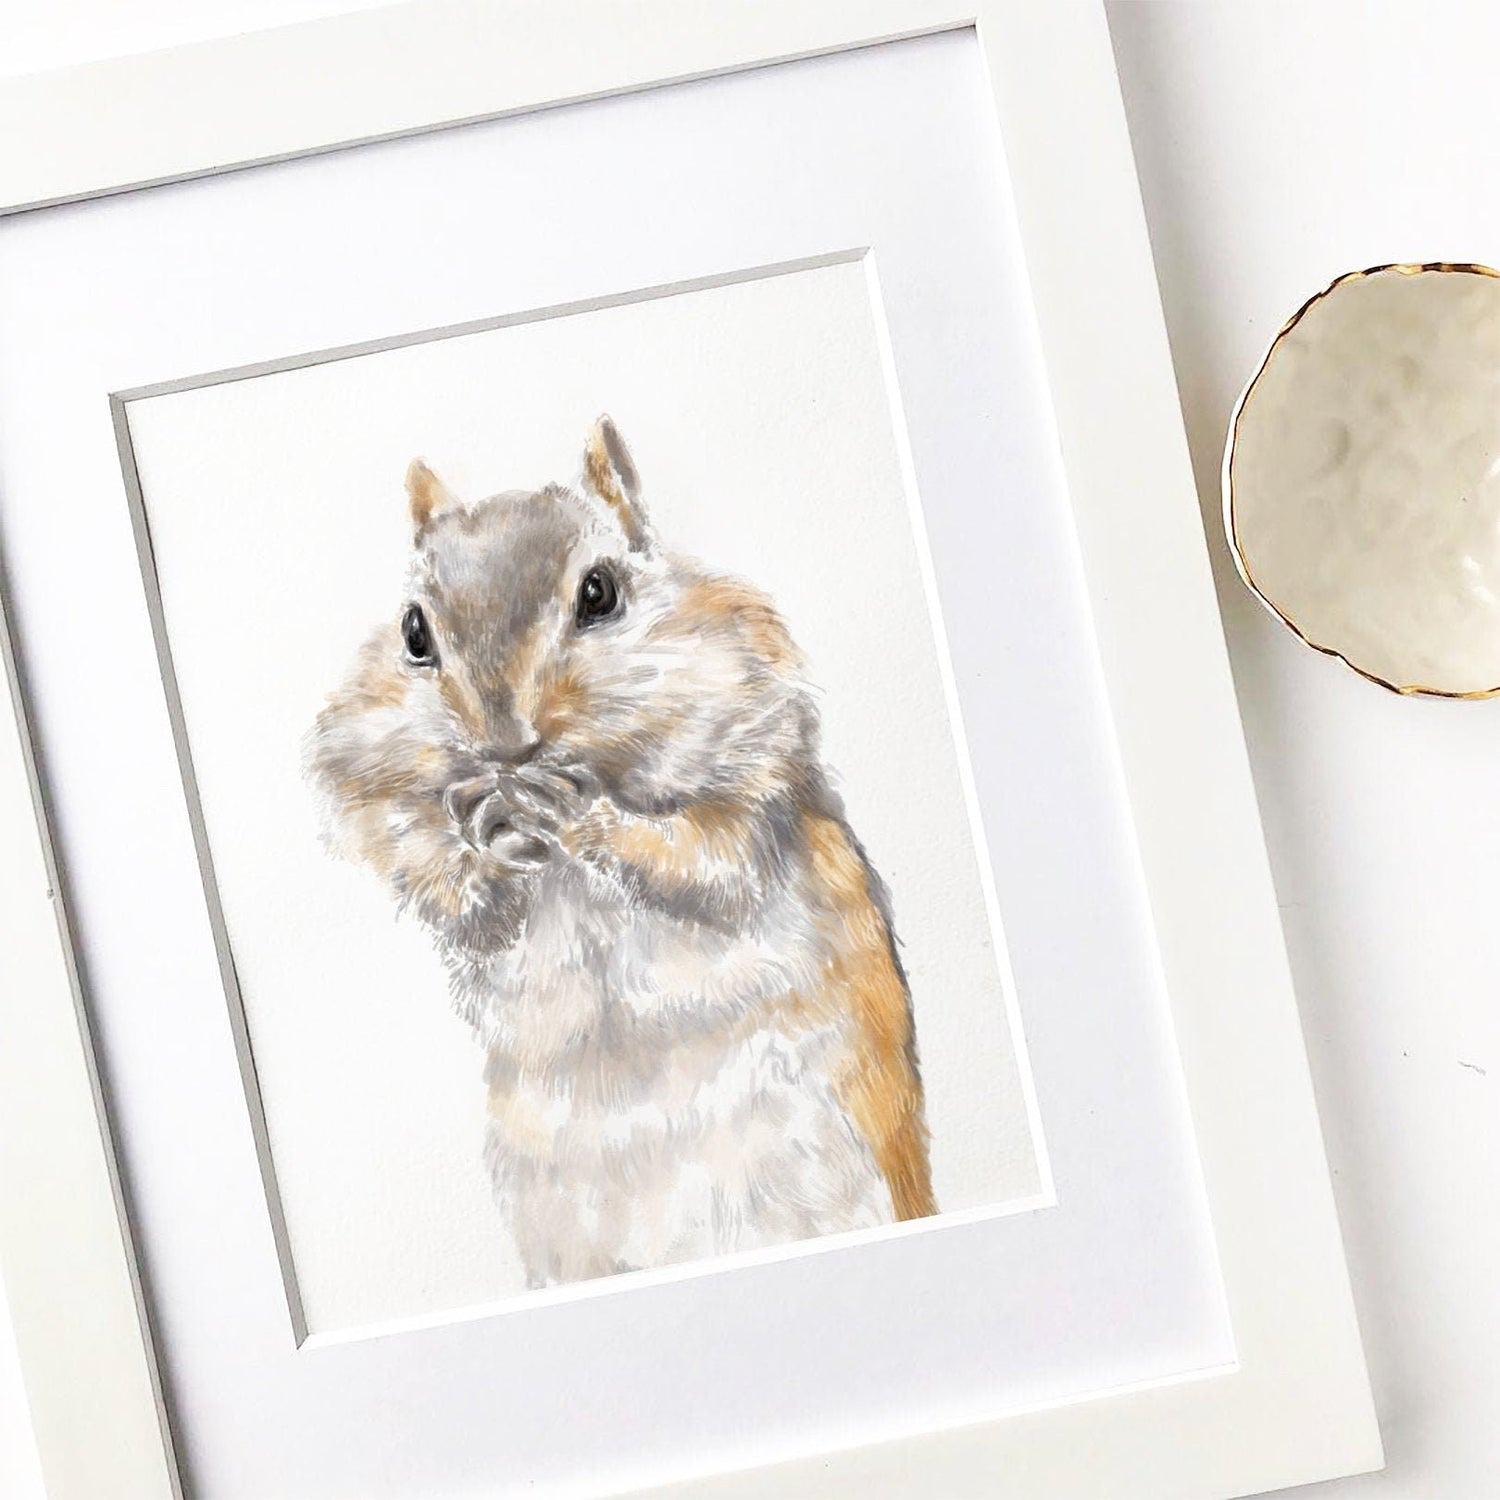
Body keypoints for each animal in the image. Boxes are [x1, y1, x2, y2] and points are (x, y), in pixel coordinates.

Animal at [305, 417, 934, 1288]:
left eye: (599, 593)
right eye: (413, 632)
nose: (503, 745)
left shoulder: (756, 762)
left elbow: (704, 856)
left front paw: (581, 817)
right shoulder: (375, 794)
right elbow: (435, 875)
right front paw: (485, 848)